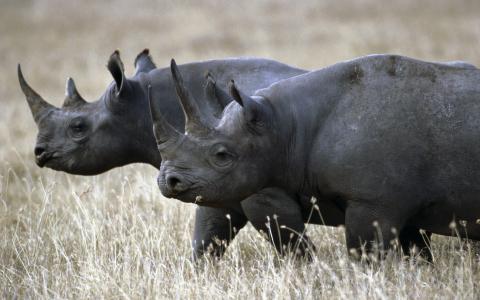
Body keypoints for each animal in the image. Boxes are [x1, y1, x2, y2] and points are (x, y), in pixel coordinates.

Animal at [19, 50, 348, 258]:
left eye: (78, 127)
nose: (39, 153)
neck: (139, 106)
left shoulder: (260, 187)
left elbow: (293, 246)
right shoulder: (213, 181)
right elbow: (206, 242)